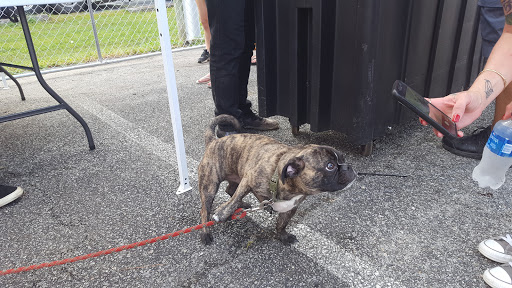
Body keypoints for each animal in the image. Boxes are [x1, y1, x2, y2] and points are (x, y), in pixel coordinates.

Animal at [200, 113, 356, 244]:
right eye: (330, 166)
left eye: (343, 158)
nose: (349, 167)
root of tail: (213, 141)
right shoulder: (249, 179)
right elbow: (234, 199)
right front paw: (223, 212)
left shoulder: (290, 208)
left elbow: (282, 223)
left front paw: (283, 236)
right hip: (209, 186)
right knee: (206, 210)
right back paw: (206, 232)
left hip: (235, 177)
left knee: (230, 189)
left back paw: (242, 205)